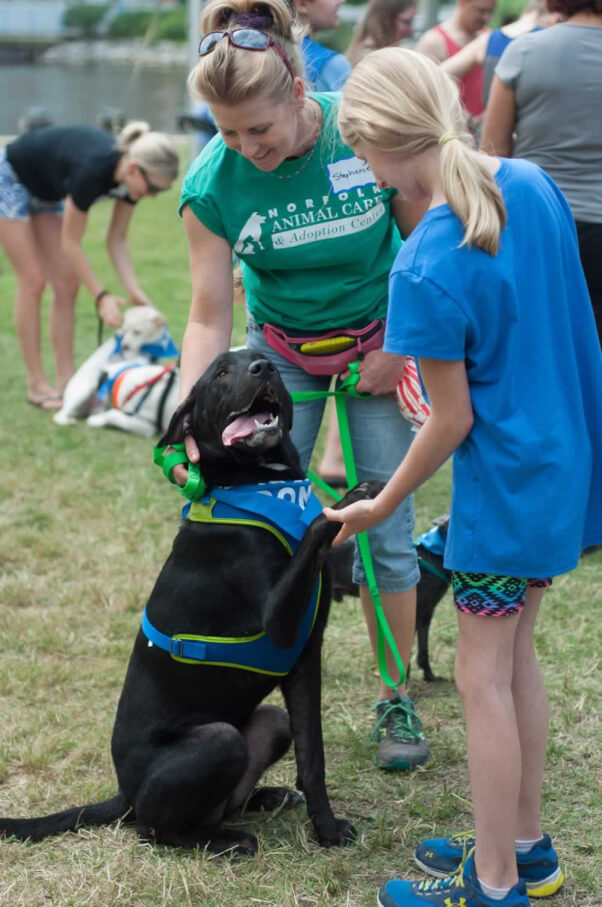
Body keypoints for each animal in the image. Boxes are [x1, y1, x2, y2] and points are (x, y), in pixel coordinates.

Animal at [0, 352, 378, 856]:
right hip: (218, 740)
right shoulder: (280, 622)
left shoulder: (304, 657)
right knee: (152, 828)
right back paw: (229, 841)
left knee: (225, 797)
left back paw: (264, 798)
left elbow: (312, 757)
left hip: (269, 721)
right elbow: (320, 523)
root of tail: (125, 794)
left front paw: (328, 829)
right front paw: (353, 497)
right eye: (220, 372)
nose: (263, 367)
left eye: (267, 364)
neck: (256, 479)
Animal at [54, 306, 178, 438]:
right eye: (124, 331)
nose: (124, 346)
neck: (149, 347)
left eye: (137, 332)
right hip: (82, 392)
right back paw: (67, 421)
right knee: (59, 415)